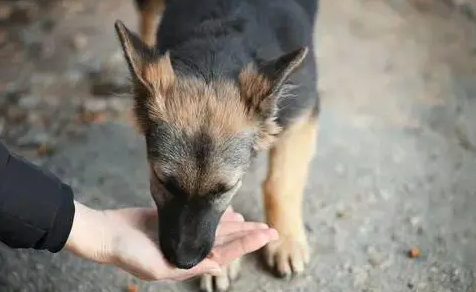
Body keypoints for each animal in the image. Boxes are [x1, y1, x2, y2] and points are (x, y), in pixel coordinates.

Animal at [114, 0, 320, 290]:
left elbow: (281, 184)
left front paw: (285, 241)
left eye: (225, 189)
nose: (184, 262)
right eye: (163, 182)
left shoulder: (302, 116)